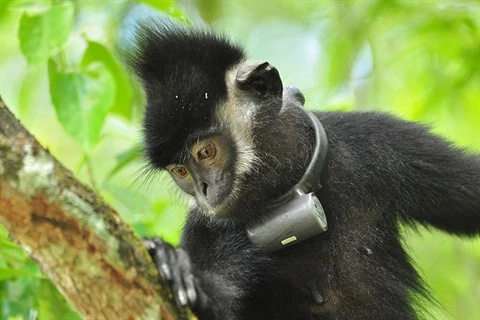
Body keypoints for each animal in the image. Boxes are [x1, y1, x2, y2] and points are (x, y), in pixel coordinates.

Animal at [124, 16, 480, 320]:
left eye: (206, 152)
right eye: (180, 171)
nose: (203, 190)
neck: (291, 186)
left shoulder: (382, 142)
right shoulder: (205, 224)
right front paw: (183, 272)